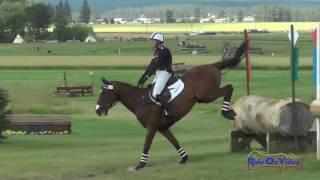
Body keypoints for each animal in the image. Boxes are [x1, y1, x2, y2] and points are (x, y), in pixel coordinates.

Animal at [95, 41, 248, 170]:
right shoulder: (162, 127)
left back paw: (227, 112)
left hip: (207, 95)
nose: (97, 110)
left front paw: (141, 164)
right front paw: (184, 158)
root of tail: (212, 66)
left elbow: (146, 145)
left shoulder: (151, 127)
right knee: (228, 88)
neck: (140, 100)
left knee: (229, 88)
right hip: (204, 97)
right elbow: (174, 142)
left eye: (105, 94)